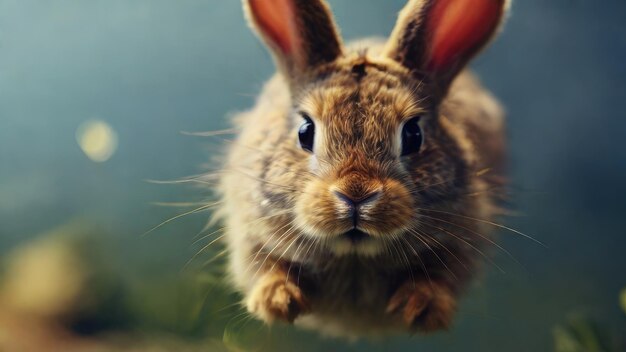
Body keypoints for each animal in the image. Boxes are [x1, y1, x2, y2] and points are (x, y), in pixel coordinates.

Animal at [213, 0, 508, 336]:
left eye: (413, 134)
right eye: (305, 131)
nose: (356, 195)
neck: (354, 256)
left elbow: (438, 278)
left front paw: (420, 307)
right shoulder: (249, 230)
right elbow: (267, 267)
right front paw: (278, 302)